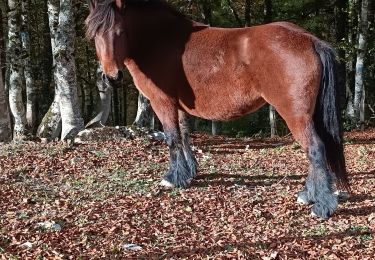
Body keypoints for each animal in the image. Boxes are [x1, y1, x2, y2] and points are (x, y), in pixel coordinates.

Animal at [85, 0, 350, 219]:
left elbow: (172, 139)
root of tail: (309, 40)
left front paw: (172, 179)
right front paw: (189, 173)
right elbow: (184, 135)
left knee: (315, 149)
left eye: (119, 32)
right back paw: (308, 195)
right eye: (94, 34)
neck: (160, 39)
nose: (111, 77)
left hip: (295, 114)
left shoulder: (162, 102)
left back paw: (321, 206)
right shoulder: (179, 105)